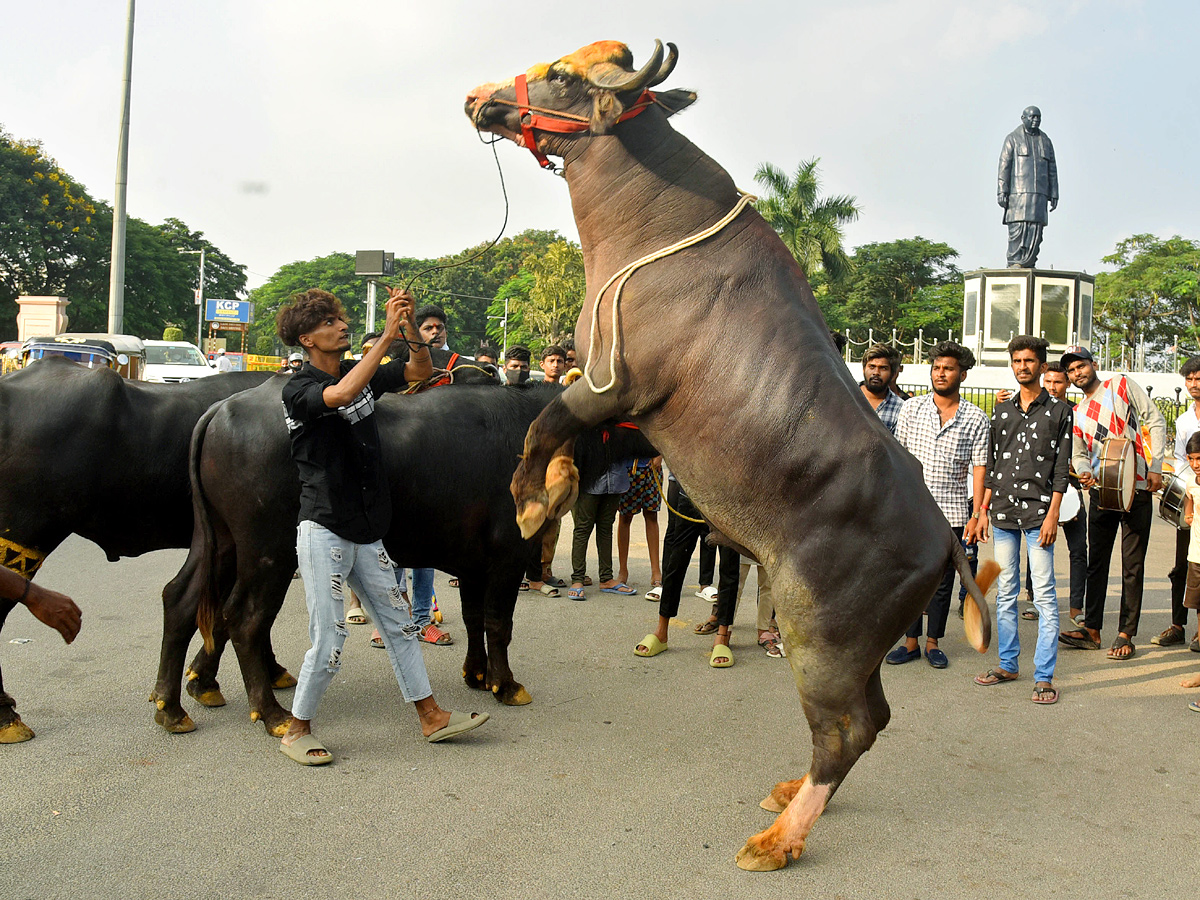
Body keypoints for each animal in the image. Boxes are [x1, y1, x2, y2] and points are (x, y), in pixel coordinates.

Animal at [463, 42, 998, 873]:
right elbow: (563, 441)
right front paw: (552, 489)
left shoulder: (611, 385)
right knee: (871, 717)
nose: (478, 98)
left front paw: (531, 500)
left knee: (848, 729)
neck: (651, 225)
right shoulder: (627, 414)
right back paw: (789, 795)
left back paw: (780, 840)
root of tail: (944, 534)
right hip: (861, 642)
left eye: (562, 75)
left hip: (822, 634)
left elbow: (542, 427)